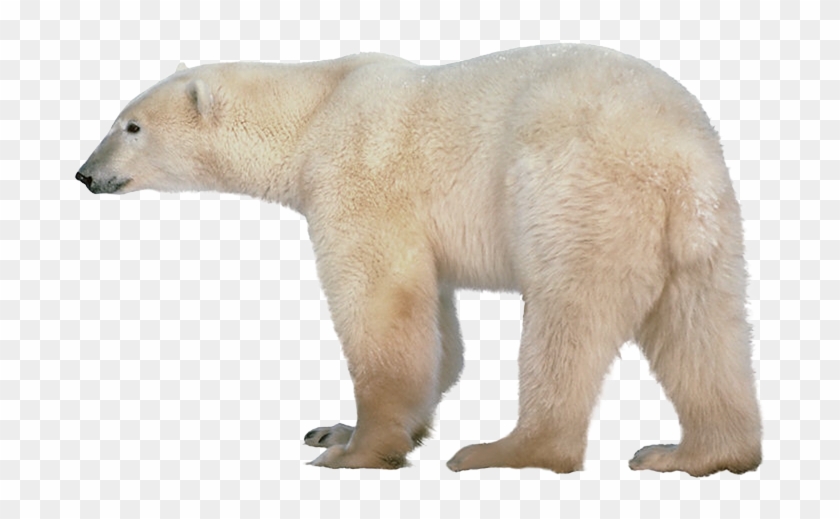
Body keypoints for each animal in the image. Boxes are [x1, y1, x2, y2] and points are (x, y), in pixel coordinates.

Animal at [76, 44, 762, 476]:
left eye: (130, 126)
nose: (85, 174)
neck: (315, 108)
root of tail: (679, 153)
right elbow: (438, 330)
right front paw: (337, 429)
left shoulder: (359, 176)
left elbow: (382, 305)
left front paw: (353, 450)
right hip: (704, 231)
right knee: (702, 332)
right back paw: (694, 454)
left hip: (578, 192)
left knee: (568, 320)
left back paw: (504, 449)